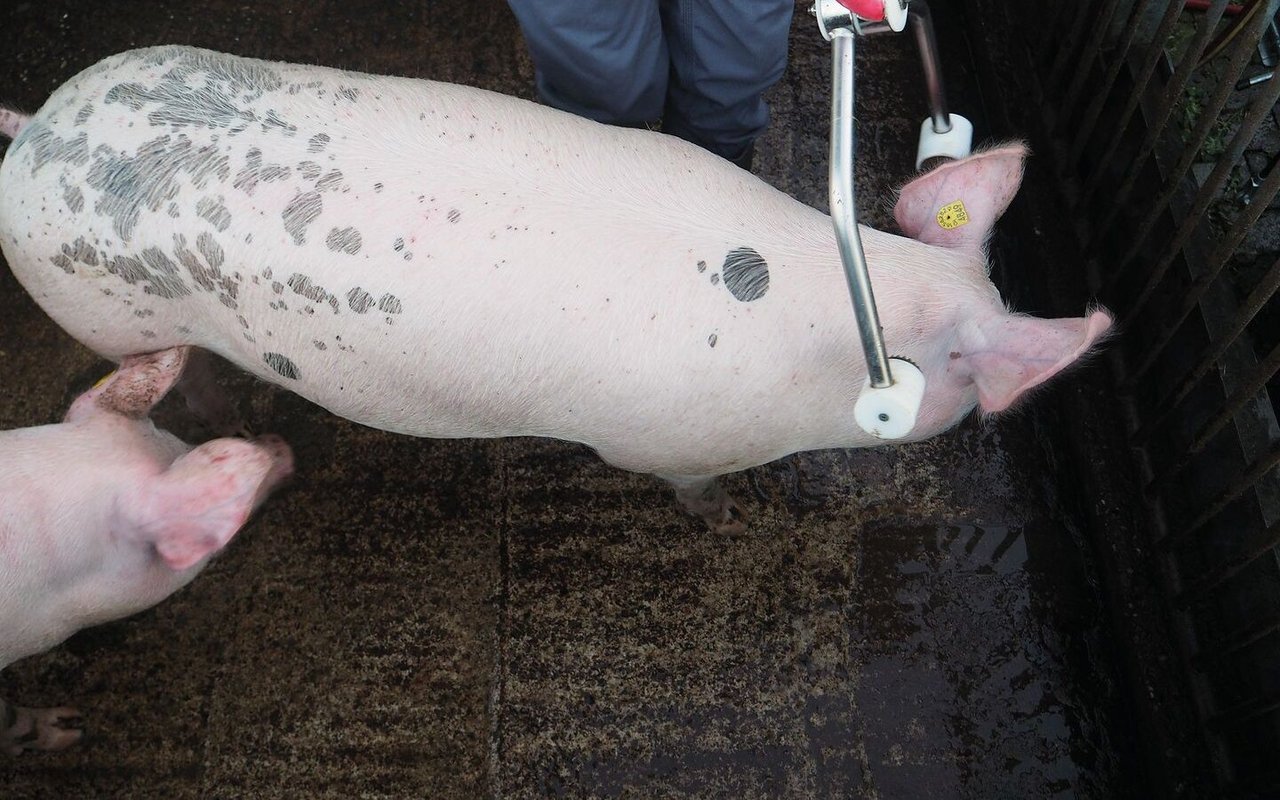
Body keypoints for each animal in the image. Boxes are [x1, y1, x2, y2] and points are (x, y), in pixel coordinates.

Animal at [0, 46, 1110, 533]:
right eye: (972, 375)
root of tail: (35, 128)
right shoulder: (664, 440)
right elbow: (687, 482)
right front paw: (716, 512)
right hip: (97, 309)